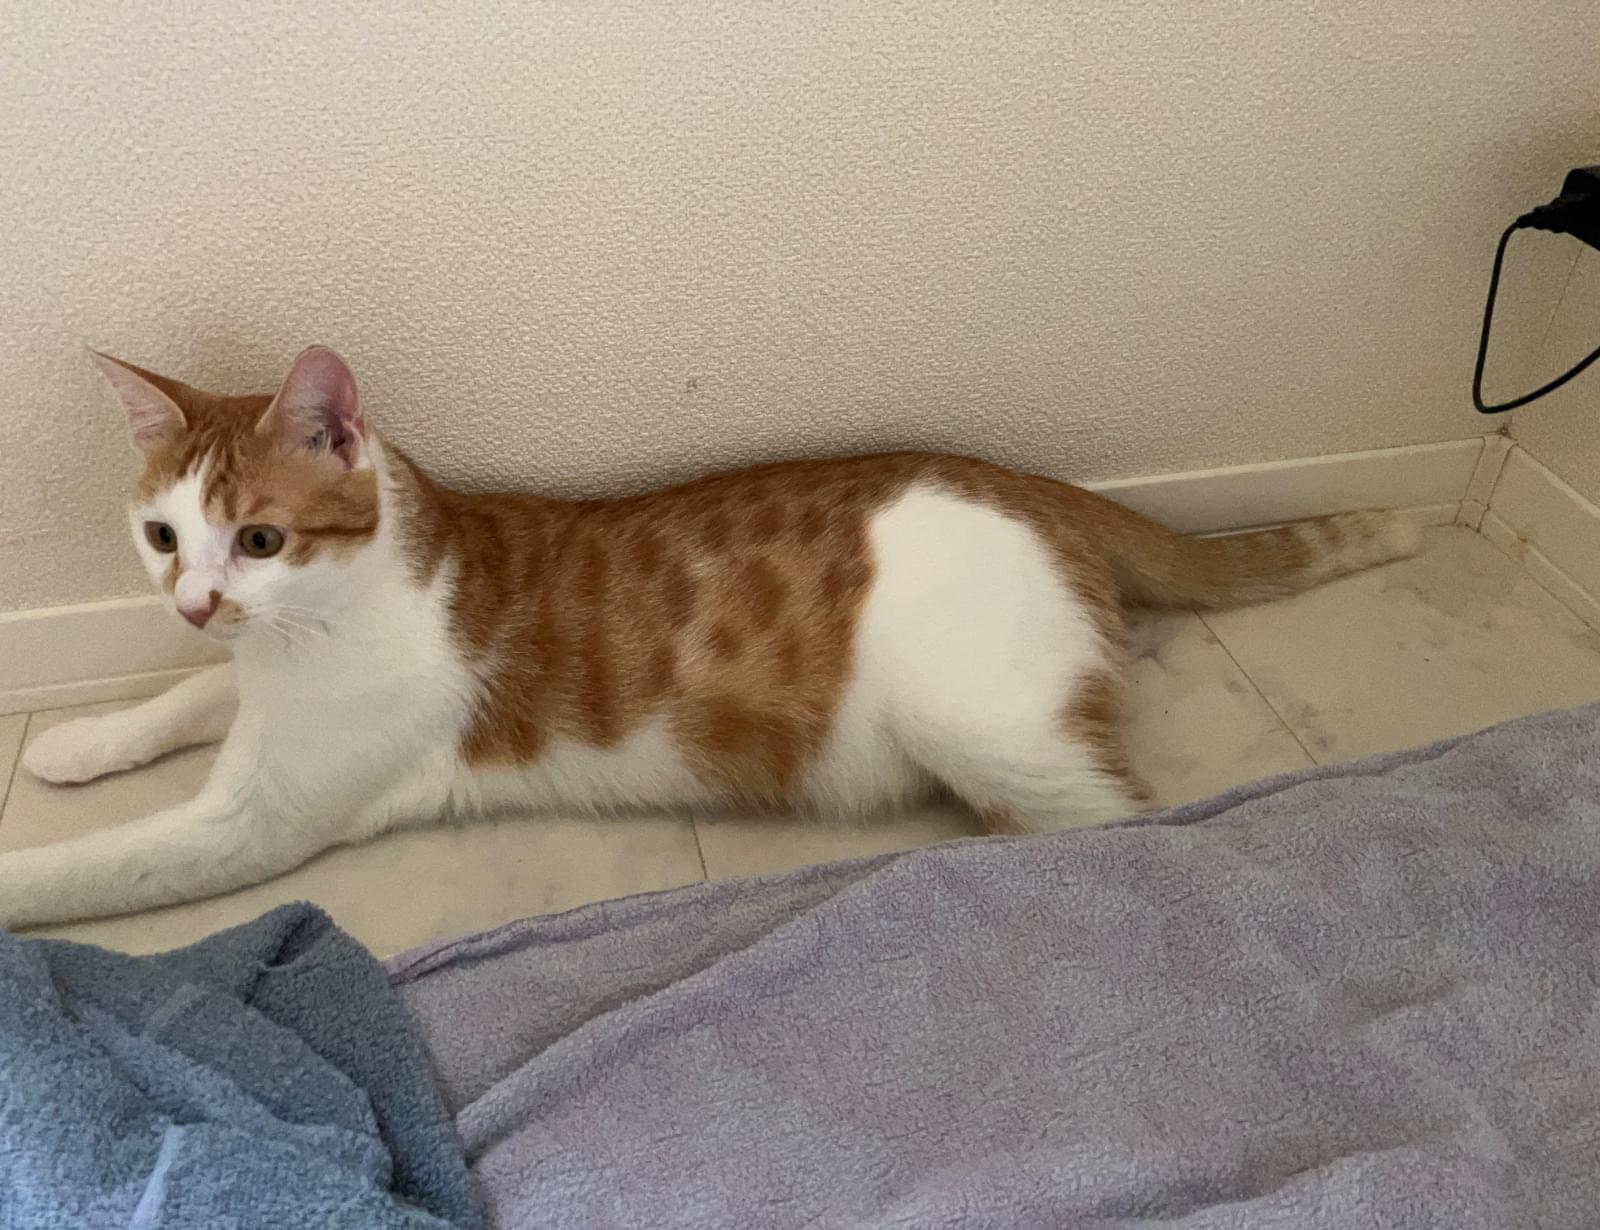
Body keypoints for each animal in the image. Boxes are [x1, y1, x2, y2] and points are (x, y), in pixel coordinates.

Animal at [2, 347, 1419, 929]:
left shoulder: (256, 819)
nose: (194, 601)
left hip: (985, 732)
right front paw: (79, 741)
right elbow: (184, 698)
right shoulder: (244, 686)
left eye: (260, 540)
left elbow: (90, 866)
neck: (310, 630)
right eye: (162, 537)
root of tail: (1035, 482)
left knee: (1127, 825)